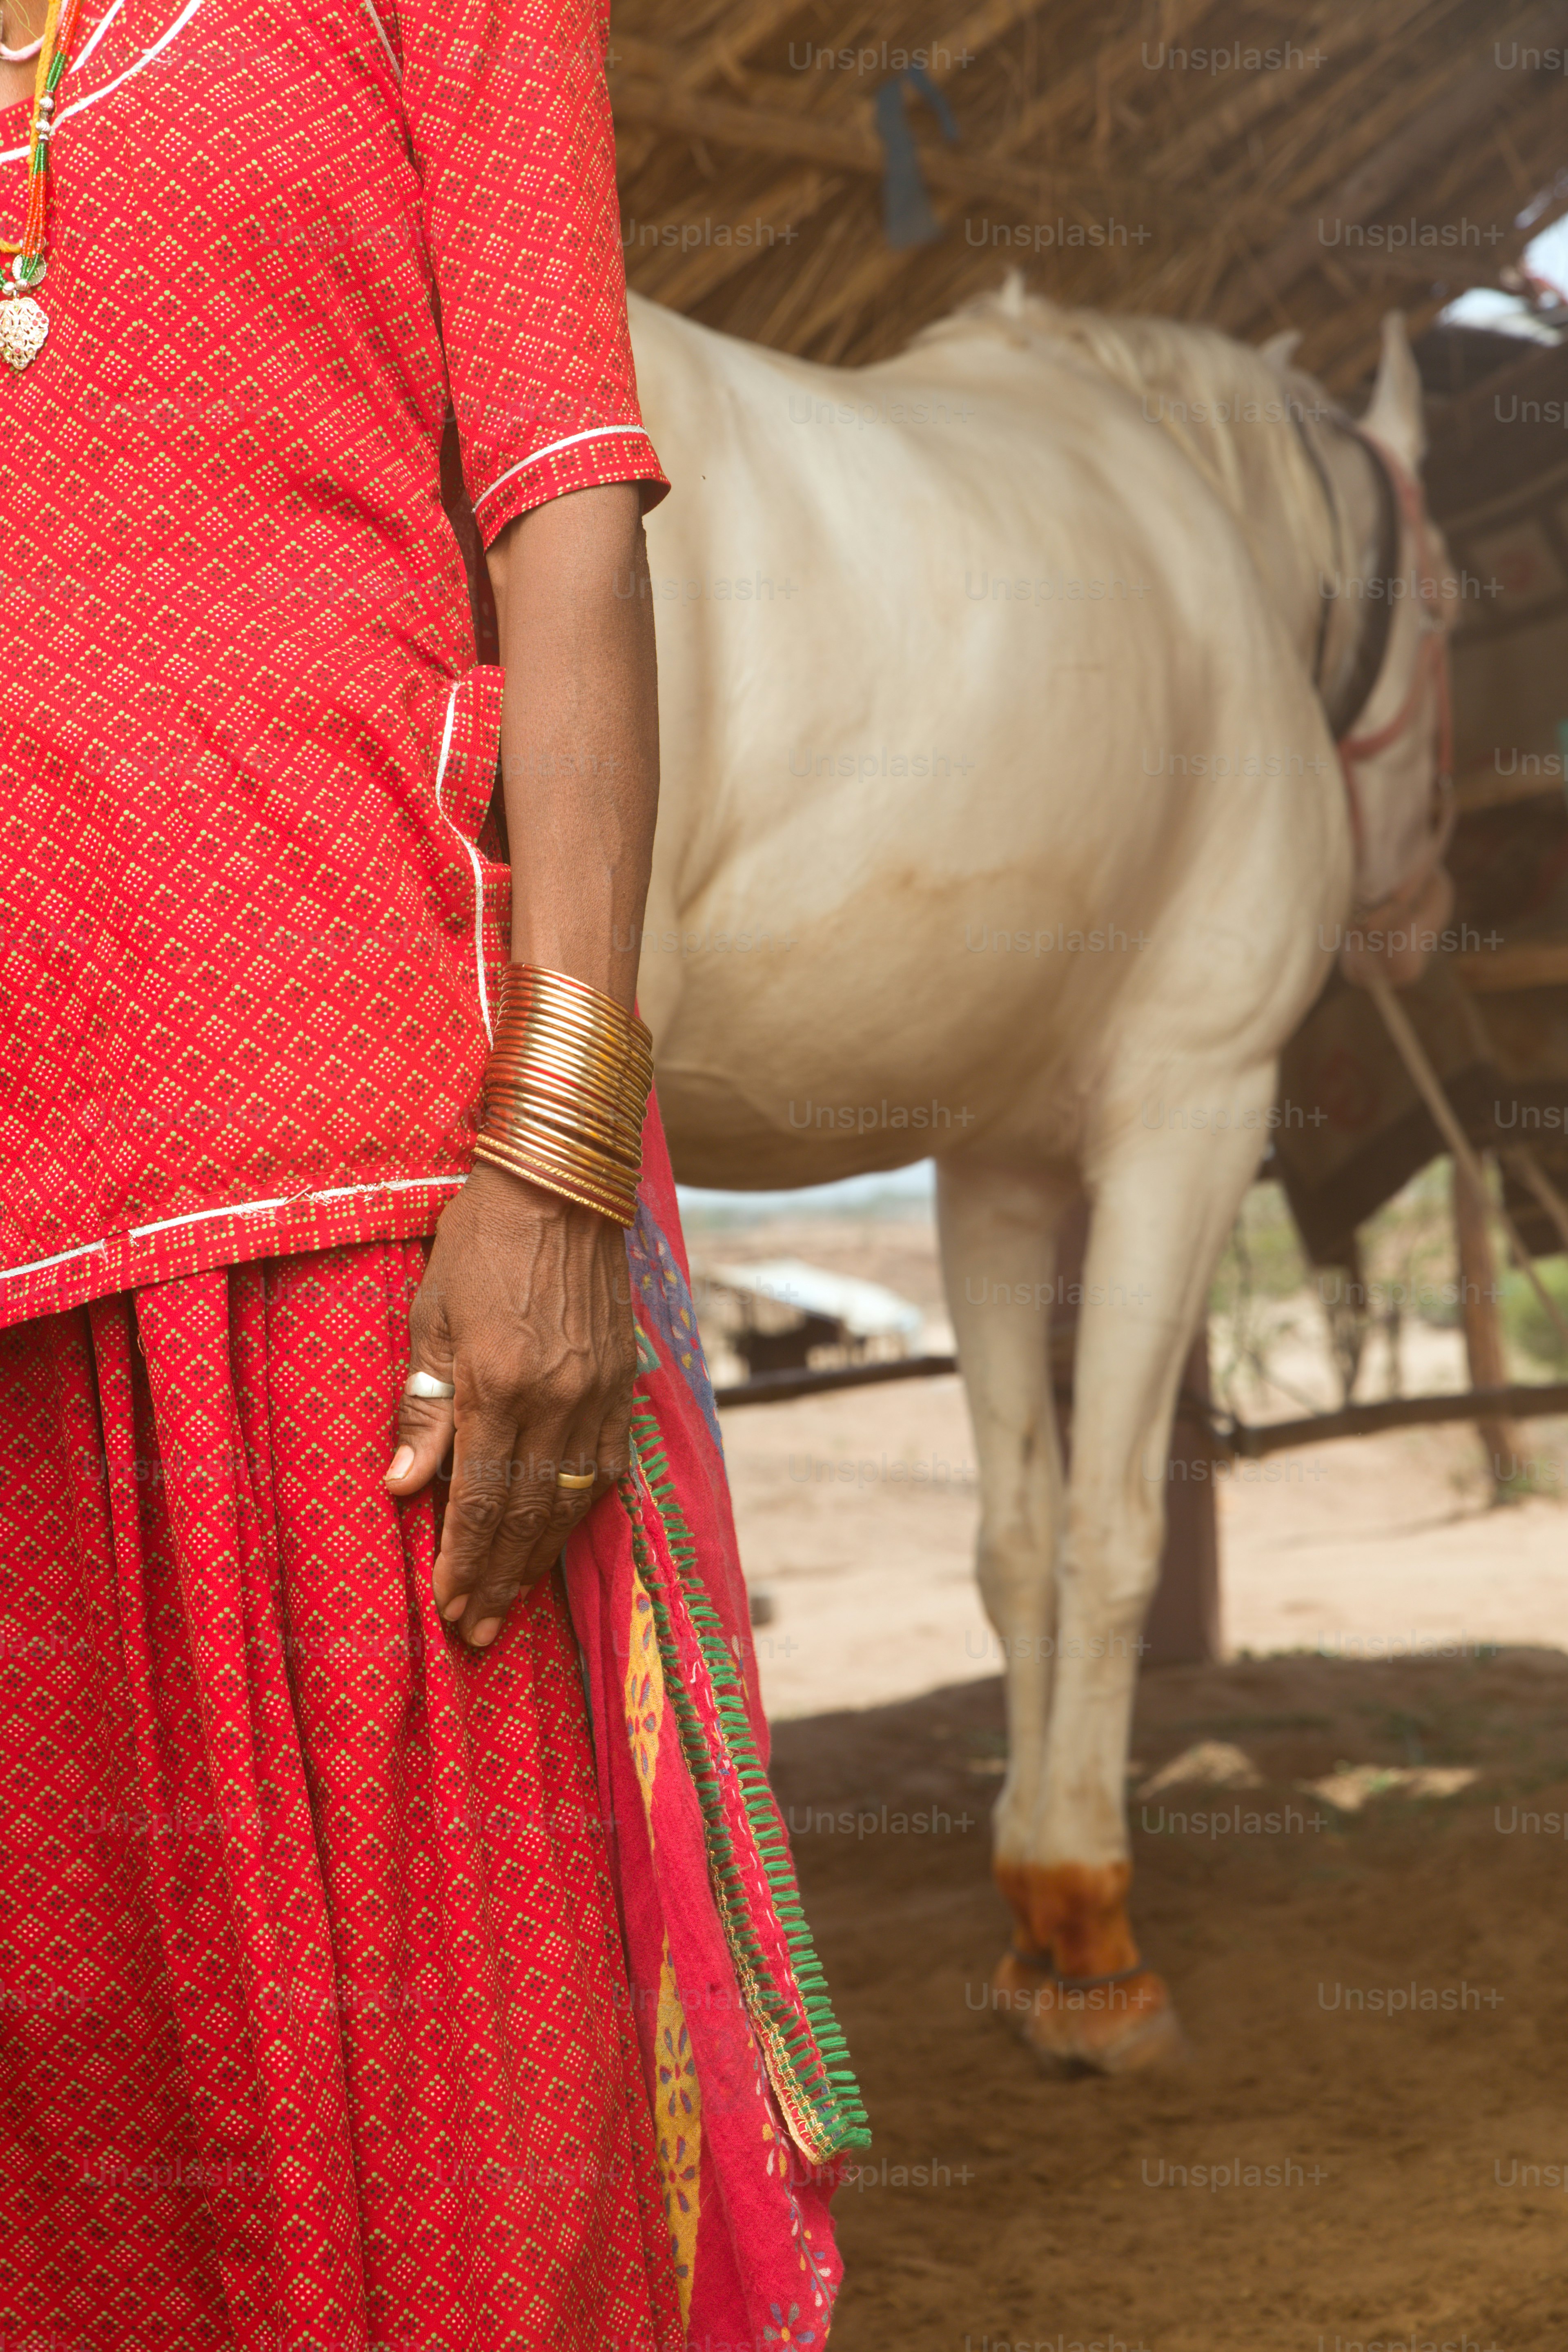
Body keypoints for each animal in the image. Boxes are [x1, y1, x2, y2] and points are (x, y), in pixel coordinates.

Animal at [621, 276, 1455, 2071]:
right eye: (1438, 616)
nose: (1419, 909)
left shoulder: (991, 1168)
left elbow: (1014, 1531)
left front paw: (1025, 1911)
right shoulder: (1191, 1113)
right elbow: (1115, 1521)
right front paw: (1092, 1919)